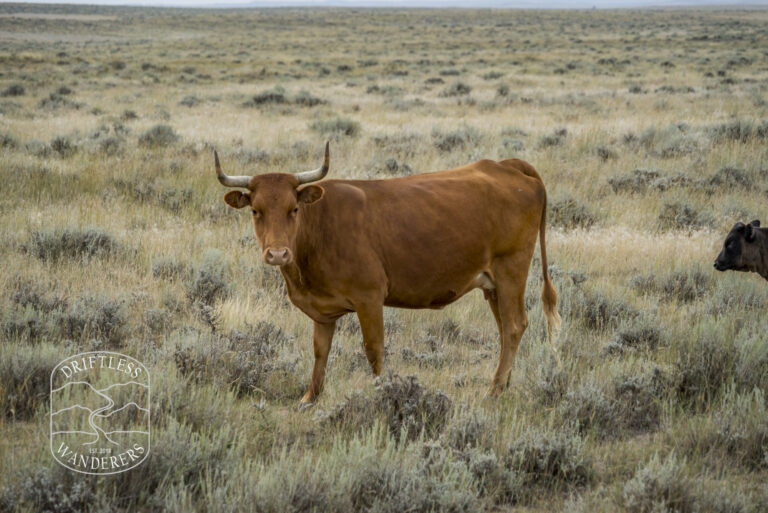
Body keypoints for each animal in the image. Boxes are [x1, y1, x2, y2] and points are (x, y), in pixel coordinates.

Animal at [213, 143, 560, 404]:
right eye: (255, 211)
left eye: (293, 209)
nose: (277, 253)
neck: (320, 229)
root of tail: (505, 166)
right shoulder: (322, 310)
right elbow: (320, 351)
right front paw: (310, 398)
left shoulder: (369, 297)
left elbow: (374, 349)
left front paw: (382, 392)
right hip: (492, 284)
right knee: (504, 329)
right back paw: (504, 383)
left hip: (511, 268)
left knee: (514, 326)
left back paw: (494, 390)